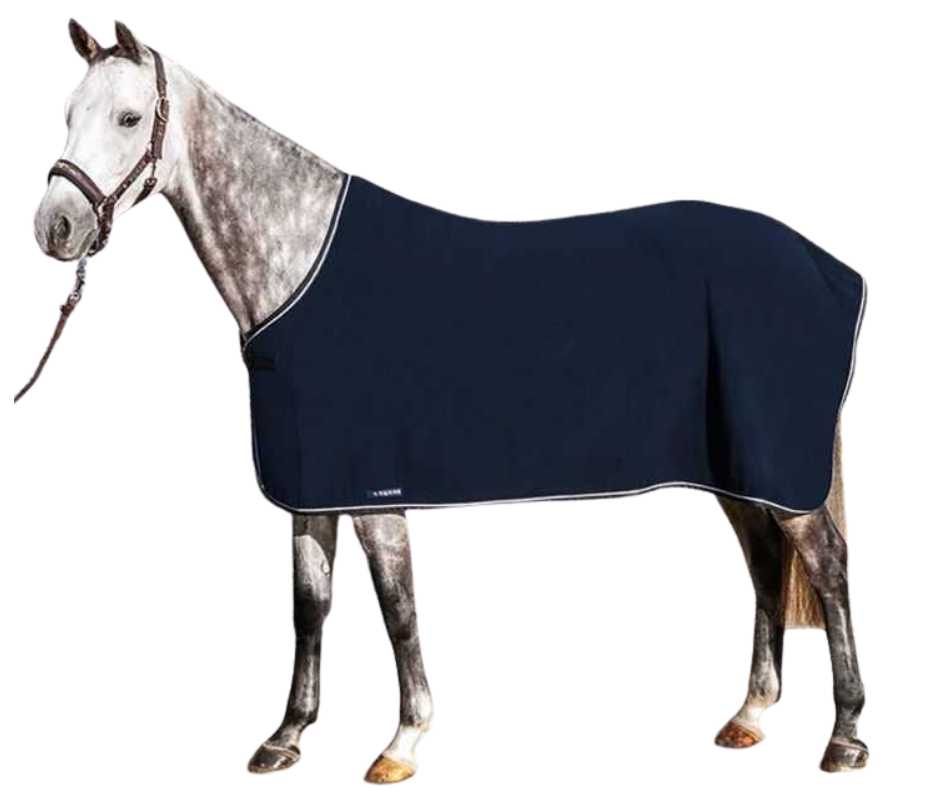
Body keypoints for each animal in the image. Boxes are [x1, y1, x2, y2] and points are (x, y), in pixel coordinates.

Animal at [29, 20, 868, 781]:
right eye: (69, 112)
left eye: (128, 118)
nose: (54, 228)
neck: (301, 265)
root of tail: (826, 268)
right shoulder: (313, 489)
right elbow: (309, 607)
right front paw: (286, 737)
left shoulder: (374, 493)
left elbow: (397, 610)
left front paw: (401, 743)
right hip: (738, 470)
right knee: (765, 564)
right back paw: (751, 714)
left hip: (775, 470)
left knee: (825, 565)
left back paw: (846, 736)